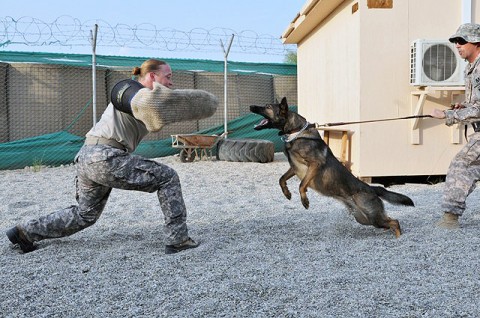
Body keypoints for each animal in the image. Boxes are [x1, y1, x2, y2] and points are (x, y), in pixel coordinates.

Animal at [251, 98, 412, 237]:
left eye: (268, 106)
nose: (251, 106)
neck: (296, 132)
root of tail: (371, 188)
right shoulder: (294, 168)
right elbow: (281, 179)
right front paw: (287, 193)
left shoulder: (315, 164)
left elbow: (301, 184)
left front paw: (304, 200)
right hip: (364, 219)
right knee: (390, 220)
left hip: (372, 217)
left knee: (395, 222)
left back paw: (398, 237)